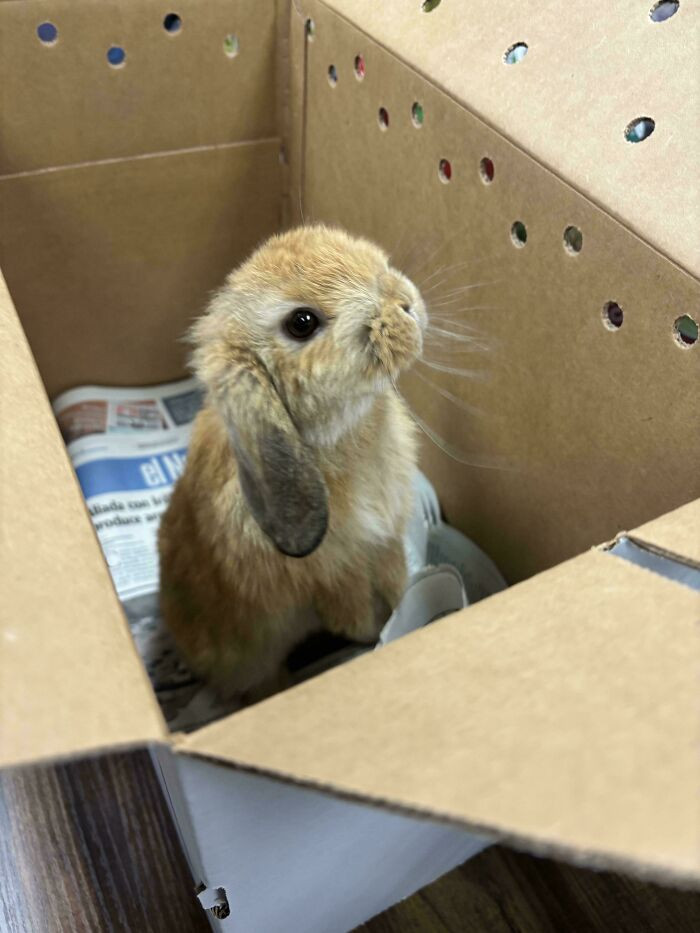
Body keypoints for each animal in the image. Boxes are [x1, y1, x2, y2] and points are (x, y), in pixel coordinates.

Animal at [158, 224, 427, 699]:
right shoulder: (334, 578)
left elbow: (397, 584)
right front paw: (378, 632)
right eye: (302, 323)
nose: (405, 302)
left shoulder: (387, 545)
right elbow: (355, 614)